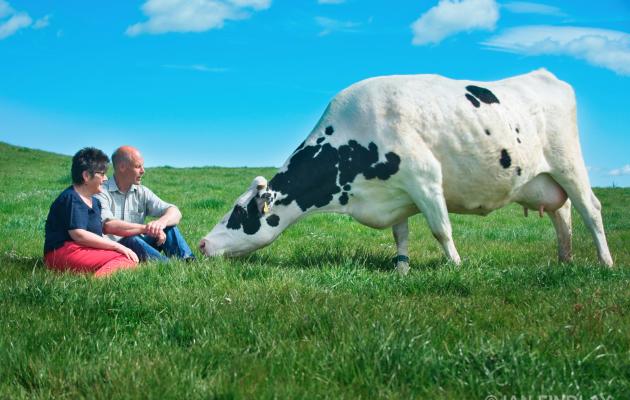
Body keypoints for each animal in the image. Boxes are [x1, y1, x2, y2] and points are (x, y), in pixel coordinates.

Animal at [201, 69, 616, 276]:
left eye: (239, 212)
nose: (203, 243)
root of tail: (543, 74)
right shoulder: (396, 194)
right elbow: (401, 235)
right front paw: (401, 269)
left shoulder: (425, 179)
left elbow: (441, 229)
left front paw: (456, 267)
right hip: (539, 180)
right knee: (563, 213)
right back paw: (564, 260)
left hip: (569, 164)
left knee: (590, 210)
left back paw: (605, 263)